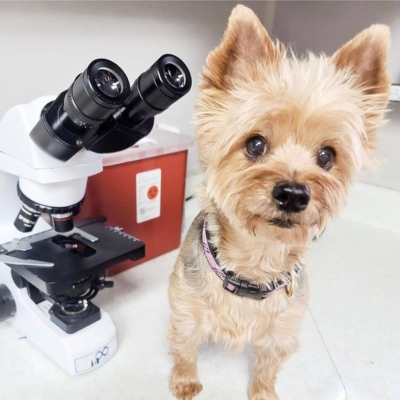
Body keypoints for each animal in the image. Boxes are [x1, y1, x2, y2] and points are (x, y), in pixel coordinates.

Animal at [168, 3, 390, 400]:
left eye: (327, 156)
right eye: (255, 144)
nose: (293, 194)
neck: (253, 264)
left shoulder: (282, 330)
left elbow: (268, 366)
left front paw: (263, 393)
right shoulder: (184, 310)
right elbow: (184, 348)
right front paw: (185, 381)